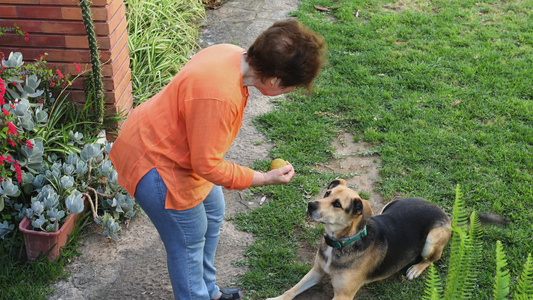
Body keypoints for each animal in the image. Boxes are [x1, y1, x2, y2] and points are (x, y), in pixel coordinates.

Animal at [266, 179, 448, 298]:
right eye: (327, 193)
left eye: (337, 204)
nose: (310, 205)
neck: (341, 243)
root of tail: (437, 207)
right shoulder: (316, 271)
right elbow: (291, 290)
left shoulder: (343, 295)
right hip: (388, 206)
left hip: (431, 240)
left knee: (432, 258)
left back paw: (416, 269)